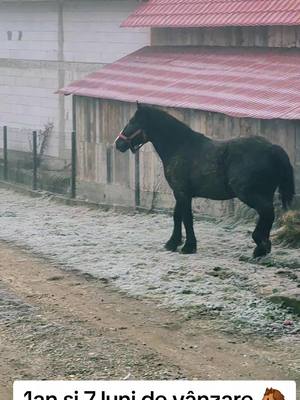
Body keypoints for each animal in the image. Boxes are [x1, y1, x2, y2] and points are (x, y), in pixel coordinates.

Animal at [115, 104, 296, 258]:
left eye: (133, 121)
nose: (118, 143)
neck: (180, 147)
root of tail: (272, 148)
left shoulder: (182, 192)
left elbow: (186, 218)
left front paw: (188, 246)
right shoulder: (180, 193)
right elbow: (177, 216)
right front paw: (173, 243)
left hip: (250, 194)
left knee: (267, 212)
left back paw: (260, 246)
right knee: (268, 215)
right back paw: (263, 247)